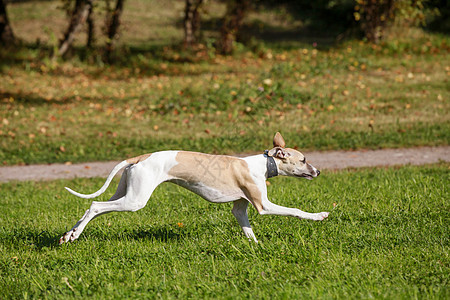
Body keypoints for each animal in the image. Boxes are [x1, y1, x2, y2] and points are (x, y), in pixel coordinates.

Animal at [59, 133, 326, 244]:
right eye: (303, 160)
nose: (318, 172)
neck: (264, 163)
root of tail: (140, 157)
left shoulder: (240, 209)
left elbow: (248, 230)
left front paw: (257, 247)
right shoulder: (264, 205)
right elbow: (295, 211)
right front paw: (320, 215)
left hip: (126, 191)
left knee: (93, 209)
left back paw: (69, 235)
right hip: (135, 200)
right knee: (95, 205)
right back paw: (74, 234)